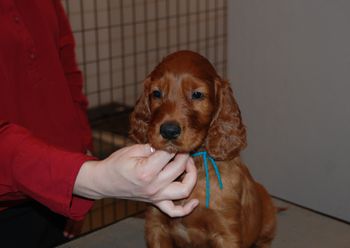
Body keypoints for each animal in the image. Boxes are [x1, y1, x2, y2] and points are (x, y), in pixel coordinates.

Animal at [129, 50, 276, 248]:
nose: (169, 130)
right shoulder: (156, 225)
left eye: (197, 94)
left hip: (268, 218)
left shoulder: (226, 233)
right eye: (156, 93)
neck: (196, 162)